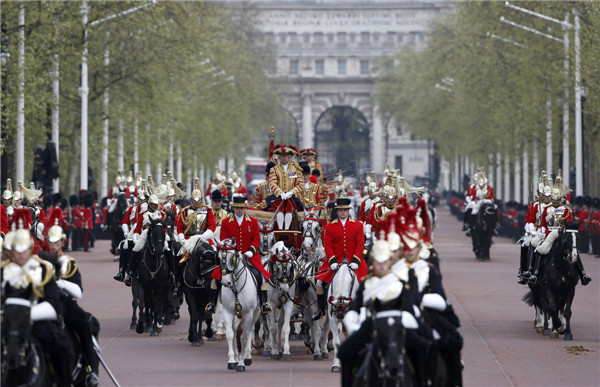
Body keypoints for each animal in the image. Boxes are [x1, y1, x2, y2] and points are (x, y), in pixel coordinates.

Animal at [218, 239, 260, 372]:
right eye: (219, 257)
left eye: (233, 258)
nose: (226, 282)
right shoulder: (227, 311)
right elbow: (230, 334)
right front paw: (232, 361)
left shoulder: (248, 313)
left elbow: (244, 337)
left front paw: (242, 363)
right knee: (235, 330)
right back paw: (237, 357)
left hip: (255, 313)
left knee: (250, 330)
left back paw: (247, 357)